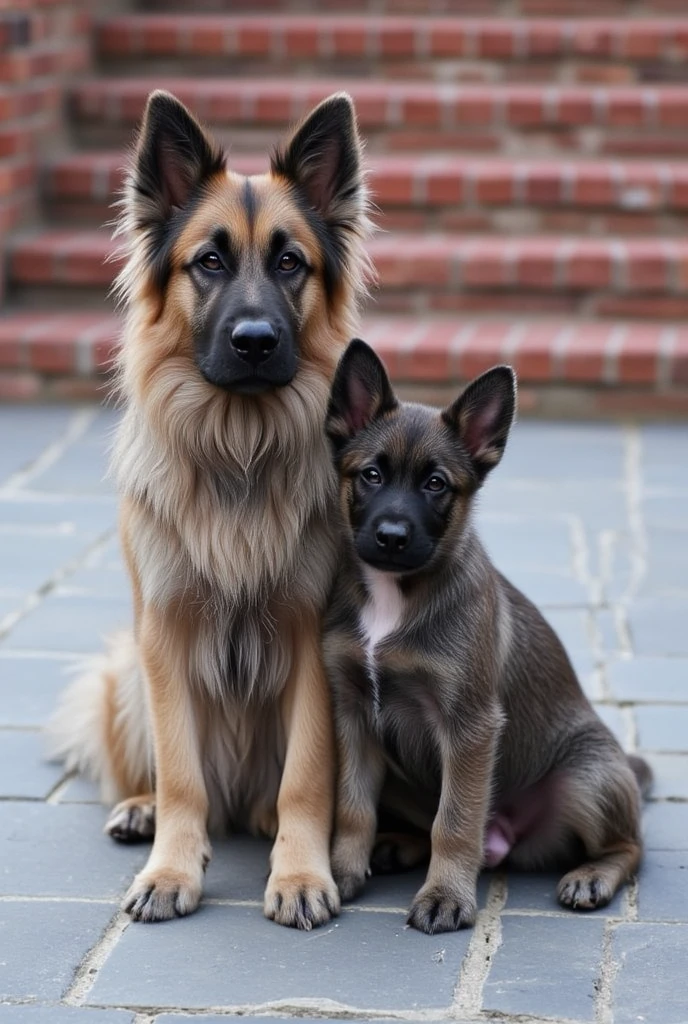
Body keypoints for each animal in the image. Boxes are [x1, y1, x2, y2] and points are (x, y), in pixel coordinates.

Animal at [48, 92, 370, 933]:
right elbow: (182, 775)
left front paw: (299, 873)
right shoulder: (164, 634)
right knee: (157, 773)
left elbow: (305, 777)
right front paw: (171, 868)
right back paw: (139, 808)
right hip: (124, 672)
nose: (255, 341)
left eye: (290, 263)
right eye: (210, 262)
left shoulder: (310, 638)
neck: (238, 451)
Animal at [323, 339, 651, 933]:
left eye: (436, 484)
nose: (391, 536)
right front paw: (339, 871)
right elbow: (353, 806)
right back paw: (398, 845)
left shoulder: (470, 727)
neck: (396, 597)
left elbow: (455, 820)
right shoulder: (355, 716)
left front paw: (444, 896)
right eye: (371, 475)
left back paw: (592, 875)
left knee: (631, 846)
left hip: (587, 780)